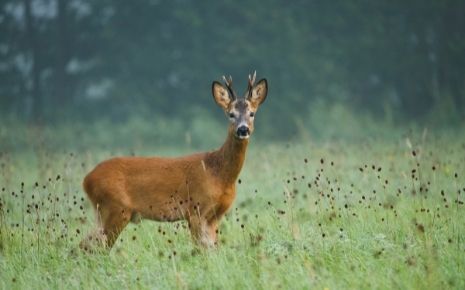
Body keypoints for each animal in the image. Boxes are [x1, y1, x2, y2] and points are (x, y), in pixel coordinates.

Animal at [79, 71, 266, 250]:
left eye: (252, 113)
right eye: (231, 114)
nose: (243, 129)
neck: (217, 172)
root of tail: (86, 180)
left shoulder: (214, 216)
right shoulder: (196, 209)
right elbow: (201, 250)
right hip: (115, 209)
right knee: (92, 246)